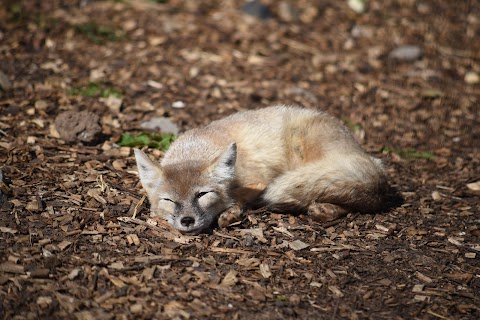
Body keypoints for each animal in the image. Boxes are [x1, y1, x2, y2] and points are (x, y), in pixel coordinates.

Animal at [133, 106, 388, 234]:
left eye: (202, 194)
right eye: (169, 200)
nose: (187, 220)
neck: (196, 148)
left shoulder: (259, 183)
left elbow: (237, 197)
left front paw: (231, 212)